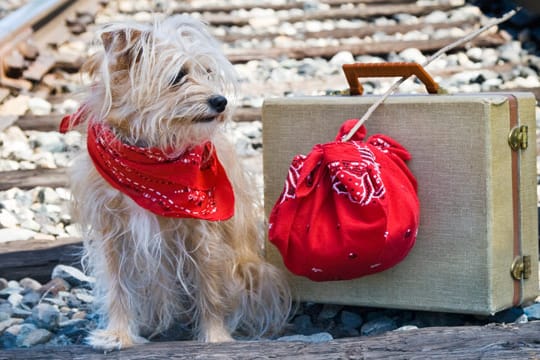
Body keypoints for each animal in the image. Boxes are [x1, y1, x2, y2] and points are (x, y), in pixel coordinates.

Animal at [61, 15, 292, 350]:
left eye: (207, 72)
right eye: (178, 75)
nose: (220, 101)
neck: (151, 154)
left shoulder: (202, 231)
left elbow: (209, 286)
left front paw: (215, 337)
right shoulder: (111, 230)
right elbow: (117, 286)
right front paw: (118, 334)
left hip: (252, 271)